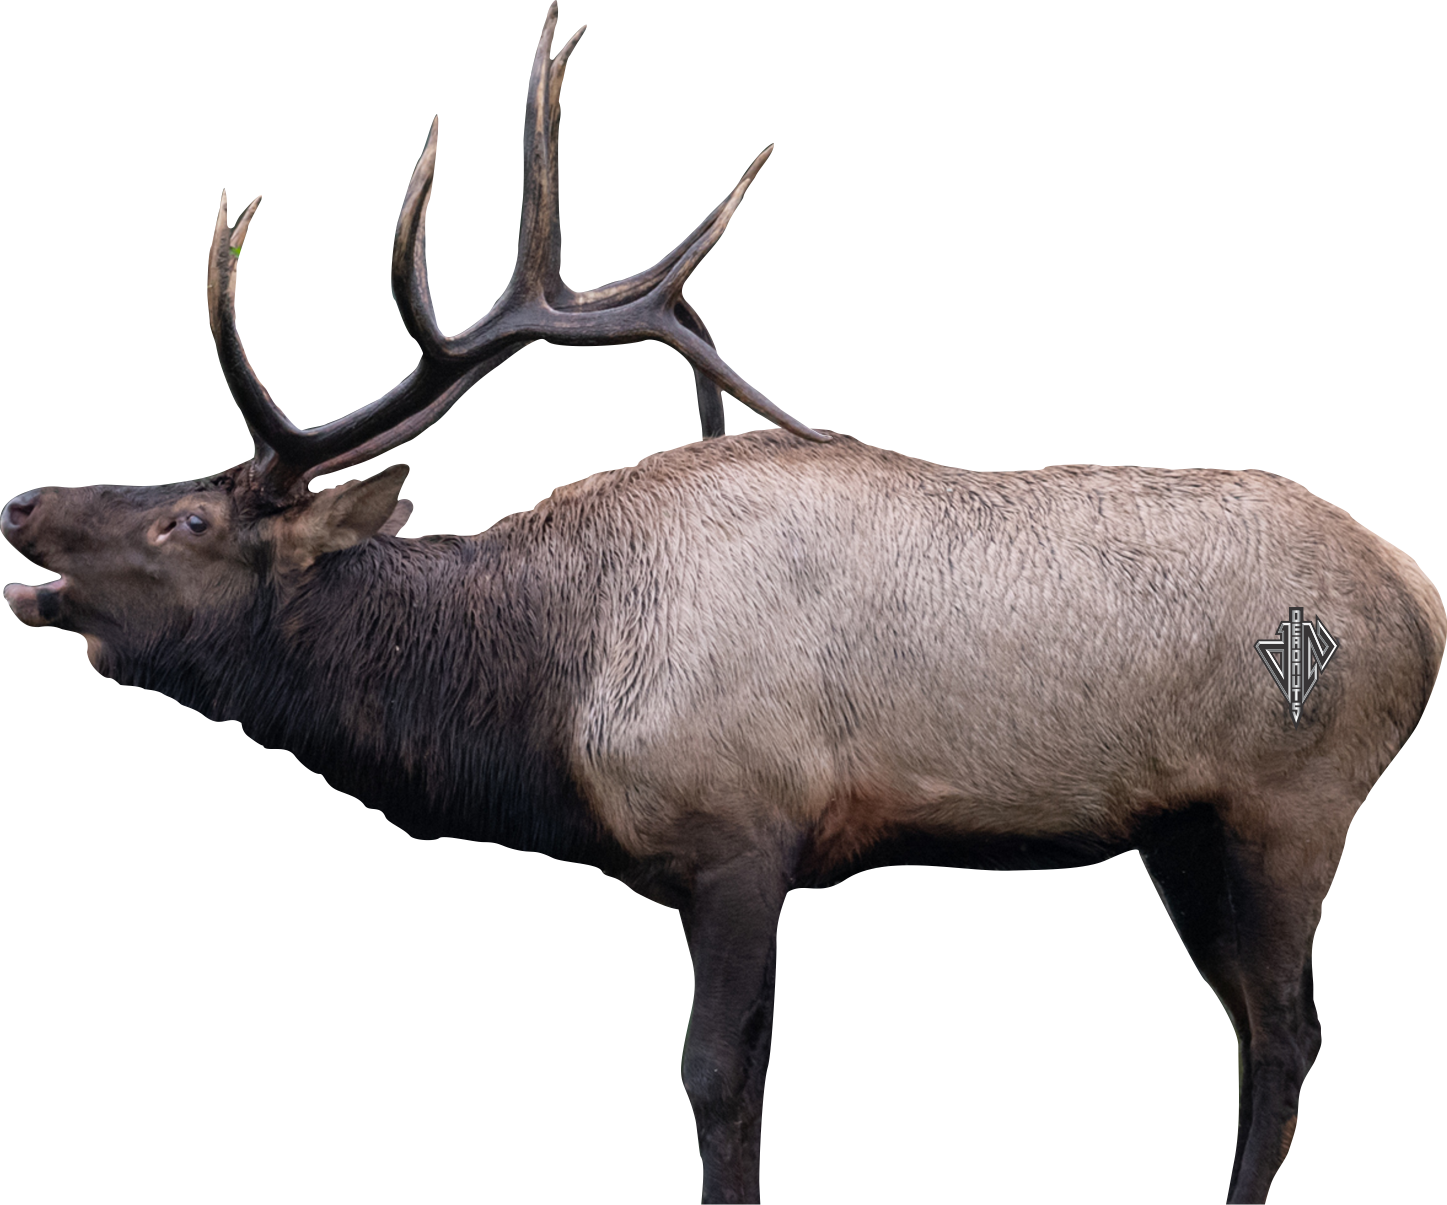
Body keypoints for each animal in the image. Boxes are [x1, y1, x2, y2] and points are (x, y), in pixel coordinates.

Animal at [3, 6, 1442, 1204]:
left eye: (188, 520)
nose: (23, 501)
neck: (545, 690)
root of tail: (1418, 593)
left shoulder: (741, 835)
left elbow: (719, 1084)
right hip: (1178, 829)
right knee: (1251, 1029)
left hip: (1288, 805)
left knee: (1289, 1035)